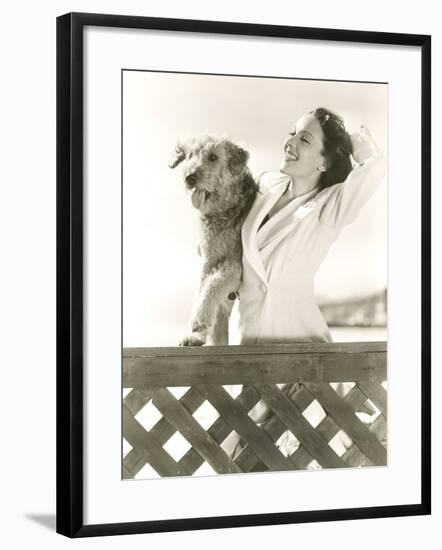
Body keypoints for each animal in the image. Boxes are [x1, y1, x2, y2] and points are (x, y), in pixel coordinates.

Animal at [170, 135, 258, 348]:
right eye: (190, 155)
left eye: (213, 157)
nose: (189, 177)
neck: (222, 212)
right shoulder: (209, 261)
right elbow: (203, 288)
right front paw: (195, 335)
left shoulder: (236, 264)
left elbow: (214, 284)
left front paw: (199, 322)